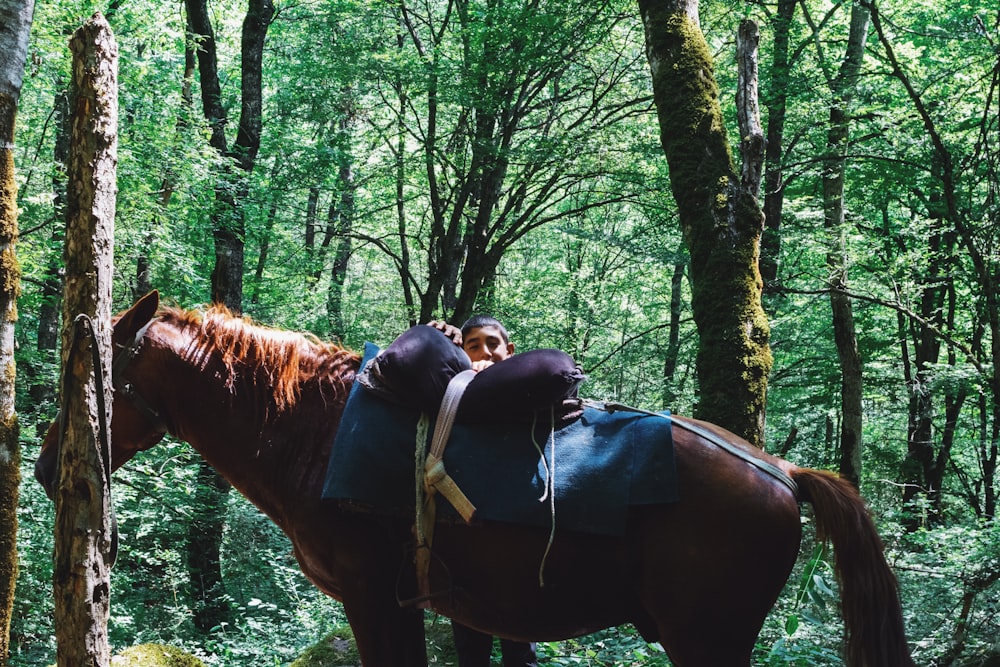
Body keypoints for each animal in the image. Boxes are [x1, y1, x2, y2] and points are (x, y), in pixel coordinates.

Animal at [37, 292, 916, 667]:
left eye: (99, 371)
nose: (47, 466)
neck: (313, 434)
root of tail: (781, 469)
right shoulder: (436, 605)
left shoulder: (375, 598)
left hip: (708, 639)